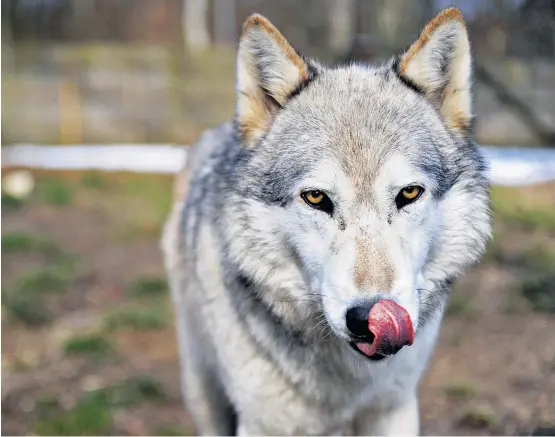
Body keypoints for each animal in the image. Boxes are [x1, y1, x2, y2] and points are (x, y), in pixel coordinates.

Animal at [161, 7, 490, 436]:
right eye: (316, 198)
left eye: (409, 194)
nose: (369, 317)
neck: (349, 379)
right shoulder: (262, 422)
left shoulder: (394, 409)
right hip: (202, 389)